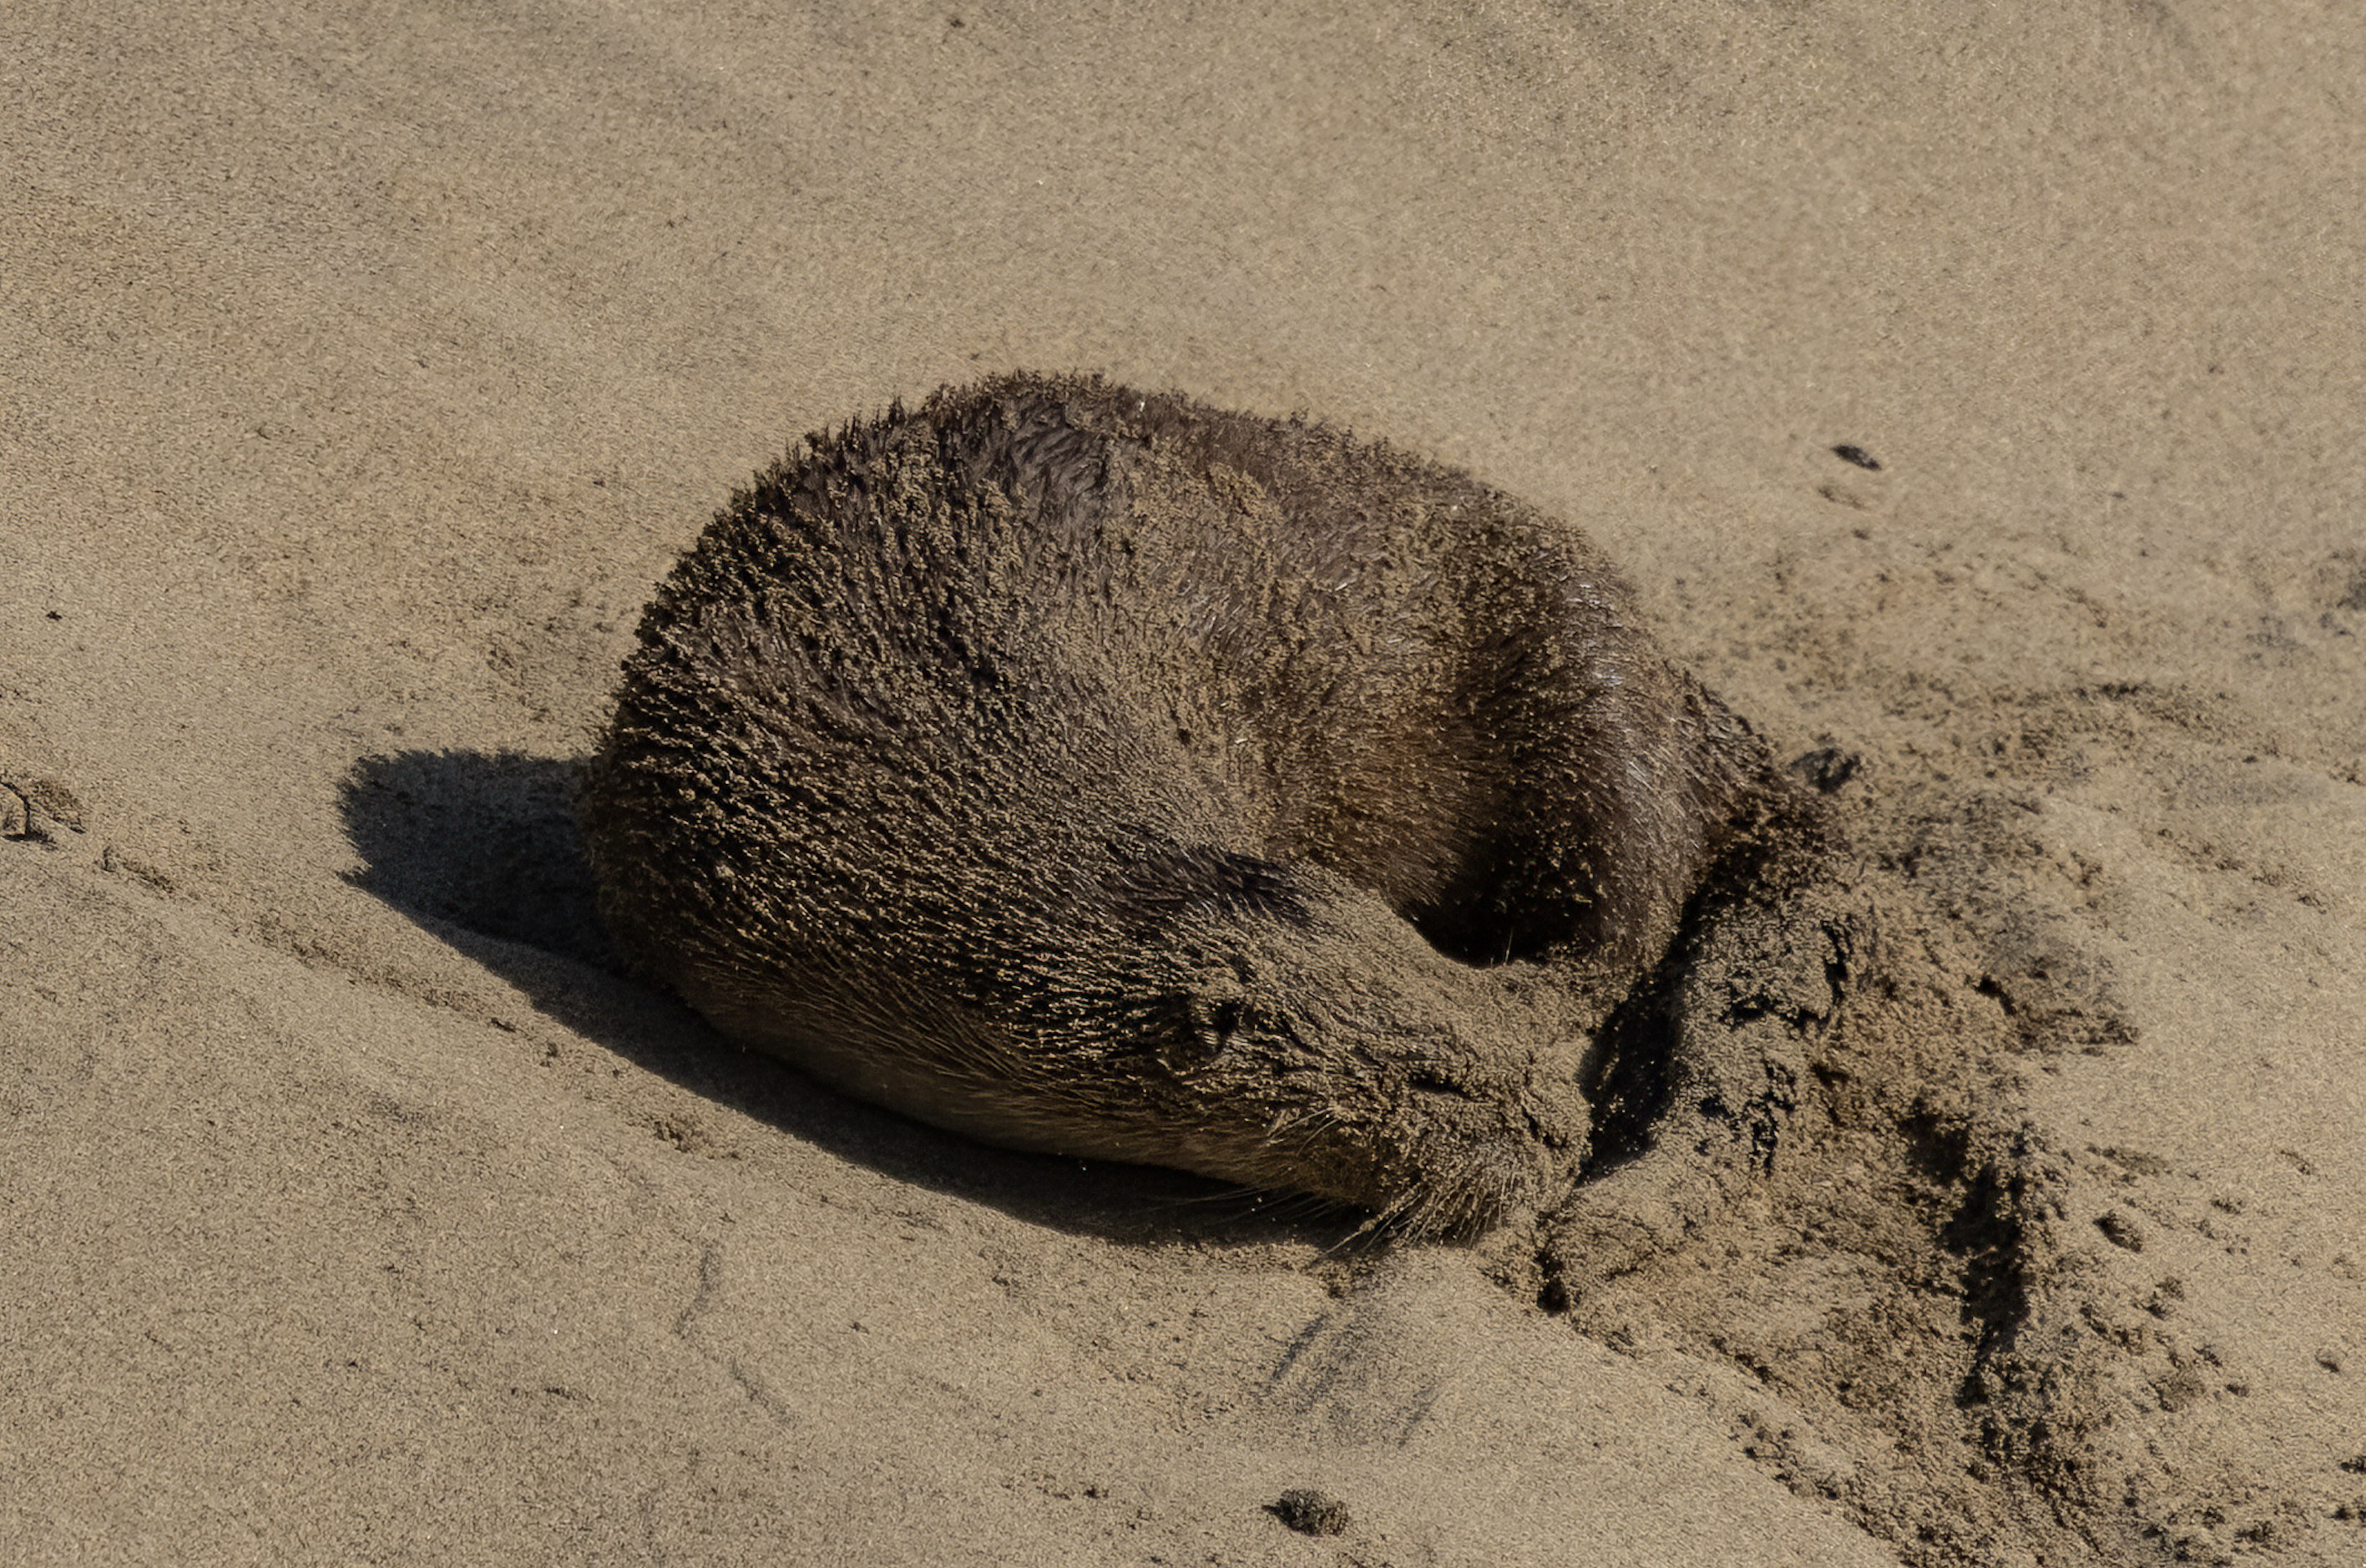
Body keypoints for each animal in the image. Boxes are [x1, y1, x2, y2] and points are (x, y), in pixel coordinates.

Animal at [579, 373, 1777, 1236]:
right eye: (1431, 1079)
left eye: (1496, 1051)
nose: (1559, 1136)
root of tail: (1690, 694)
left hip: (1593, 694)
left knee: (1621, 916)